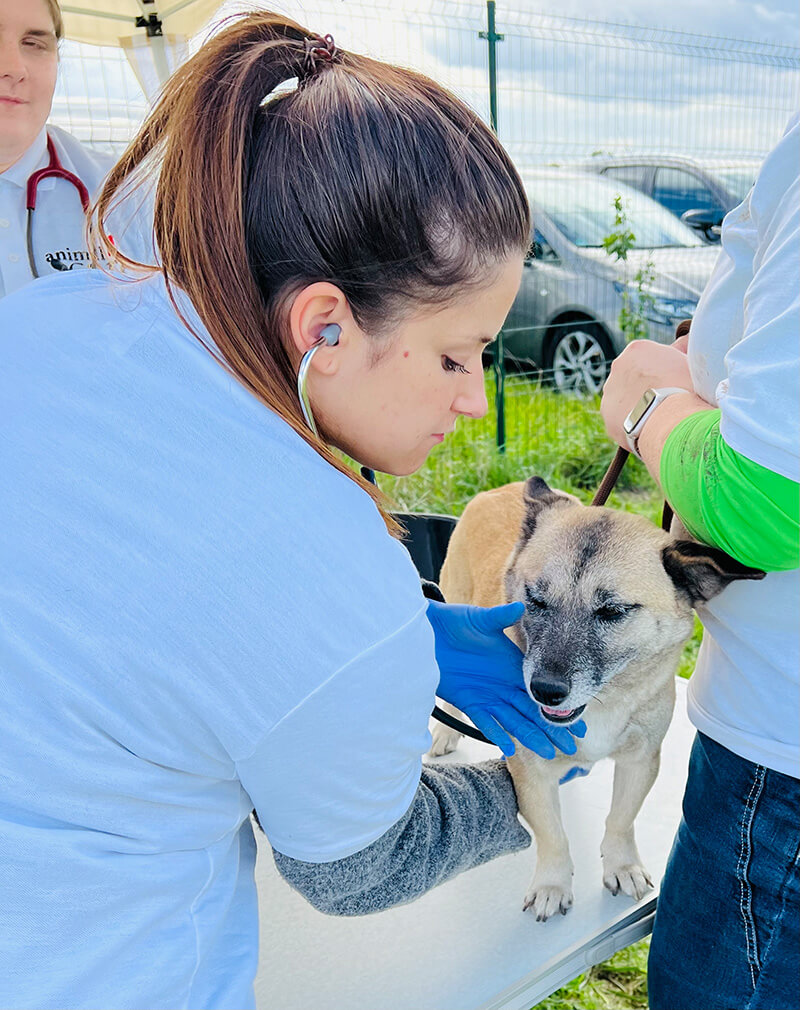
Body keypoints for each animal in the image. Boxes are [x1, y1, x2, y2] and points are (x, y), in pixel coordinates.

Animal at [431, 475, 763, 920]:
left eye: (613, 611)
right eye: (535, 599)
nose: (545, 689)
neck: (604, 700)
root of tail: (507, 486)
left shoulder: (641, 761)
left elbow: (621, 820)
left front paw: (622, 866)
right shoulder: (529, 769)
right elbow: (553, 835)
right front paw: (552, 884)